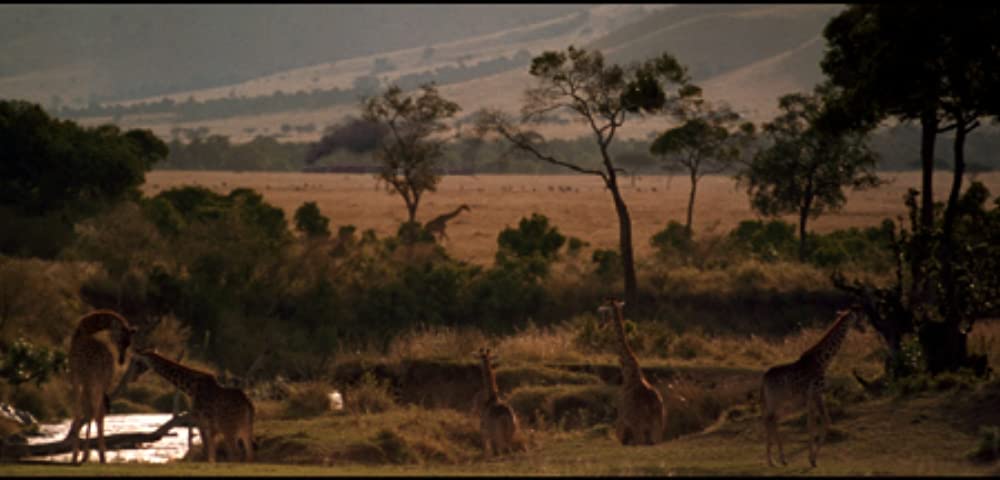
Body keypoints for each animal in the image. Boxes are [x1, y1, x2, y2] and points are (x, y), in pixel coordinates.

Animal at [66, 310, 136, 464]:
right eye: (121, 339)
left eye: (129, 343)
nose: (121, 360)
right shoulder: (103, 383)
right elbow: (99, 413)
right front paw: (99, 454)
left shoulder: (80, 381)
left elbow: (85, 412)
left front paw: (81, 454)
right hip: (96, 382)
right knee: (96, 413)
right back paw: (93, 455)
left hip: (82, 381)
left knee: (81, 412)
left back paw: (76, 456)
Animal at [592, 298, 664, 444]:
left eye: (604, 313)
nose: (600, 326)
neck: (630, 373)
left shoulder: (622, 425)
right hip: (657, 432)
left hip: (638, 430)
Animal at [760, 306, 864, 466]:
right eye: (857, 317)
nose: (863, 328)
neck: (823, 361)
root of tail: (764, 378)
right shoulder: (816, 392)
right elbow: (822, 422)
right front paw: (813, 459)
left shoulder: (813, 395)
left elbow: (815, 423)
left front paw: (812, 458)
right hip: (776, 399)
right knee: (769, 420)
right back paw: (774, 460)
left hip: (779, 400)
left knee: (771, 420)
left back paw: (779, 460)